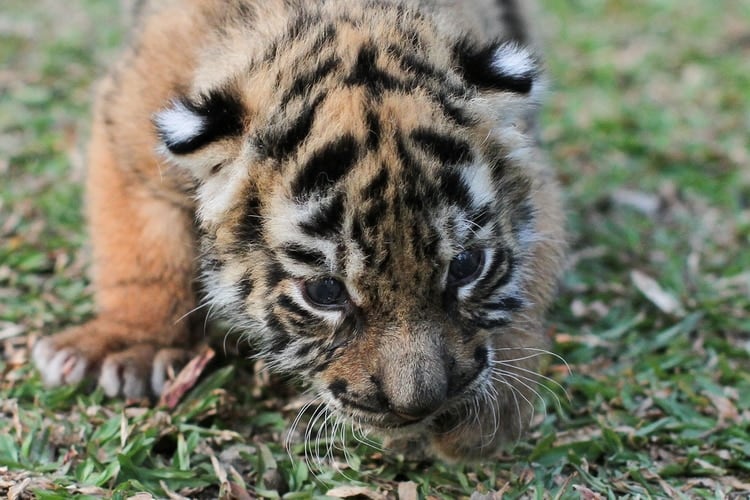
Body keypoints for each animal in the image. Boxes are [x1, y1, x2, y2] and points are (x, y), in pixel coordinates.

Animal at [32, 0, 566, 461]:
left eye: (466, 266)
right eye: (326, 292)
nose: (421, 404)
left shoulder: (535, 172)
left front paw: (494, 409)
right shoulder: (129, 137)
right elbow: (142, 249)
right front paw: (131, 342)